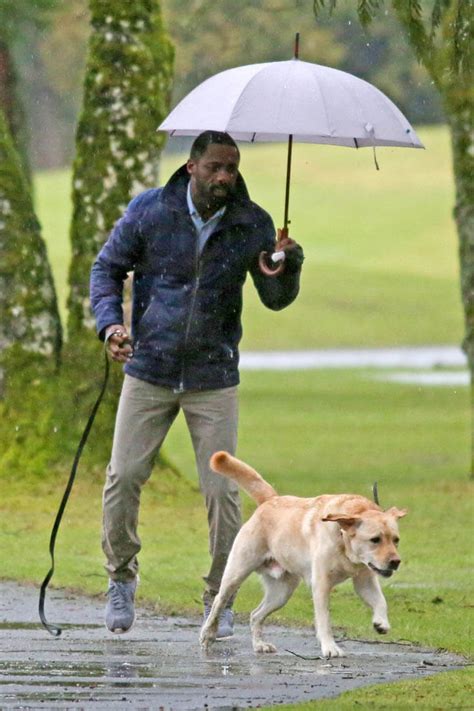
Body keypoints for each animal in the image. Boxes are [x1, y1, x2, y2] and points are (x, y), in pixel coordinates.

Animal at [201, 454, 408, 660]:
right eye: (375, 539)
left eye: (396, 540)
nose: (395, 562)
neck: (342, 540)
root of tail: (271, 499)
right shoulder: (321, 584)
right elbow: (324, 619)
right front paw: (330, 647)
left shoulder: (365, 581)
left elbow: (380, 601)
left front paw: (381, 622)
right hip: (237, 571)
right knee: (219, 600)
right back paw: (208, 634)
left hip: (282, 592)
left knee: (255, 614)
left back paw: (259, 644)